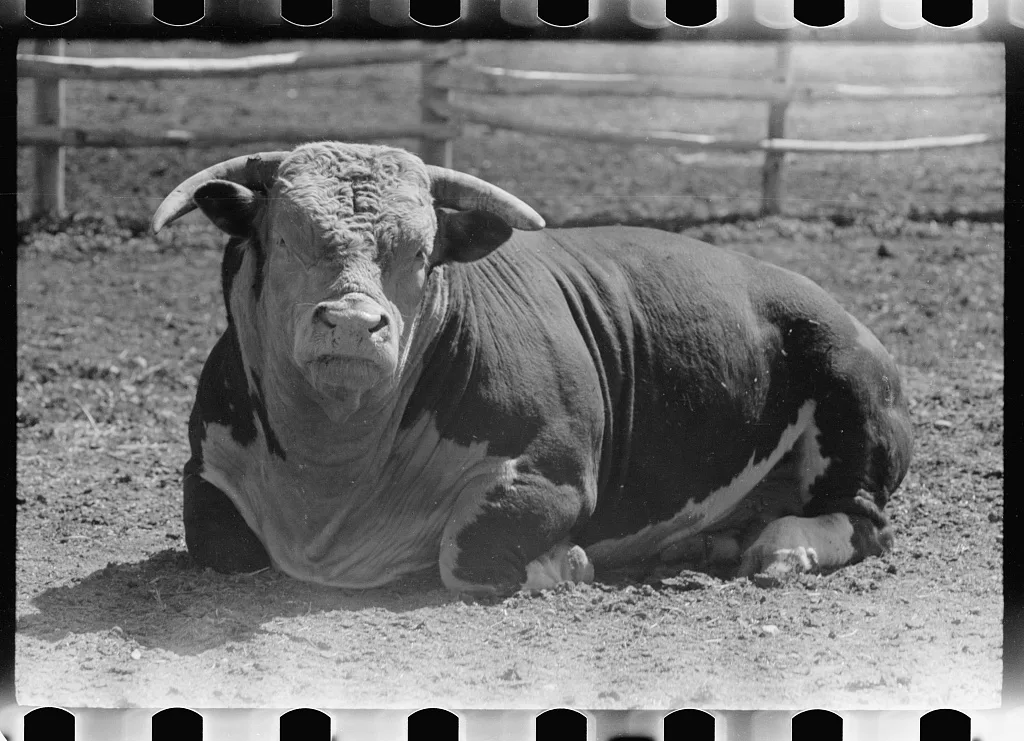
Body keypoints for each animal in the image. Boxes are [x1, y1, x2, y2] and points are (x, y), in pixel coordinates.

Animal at [152, 142, 913, 597]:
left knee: (865, 520)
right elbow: (219, 540)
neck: (332, 471)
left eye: (421, 252)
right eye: (284, 238)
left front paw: (563, 560)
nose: (352, 323)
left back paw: (783, 547)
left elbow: (470, 553)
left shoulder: (555, 476)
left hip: (848, 390)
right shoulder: (206, 471)